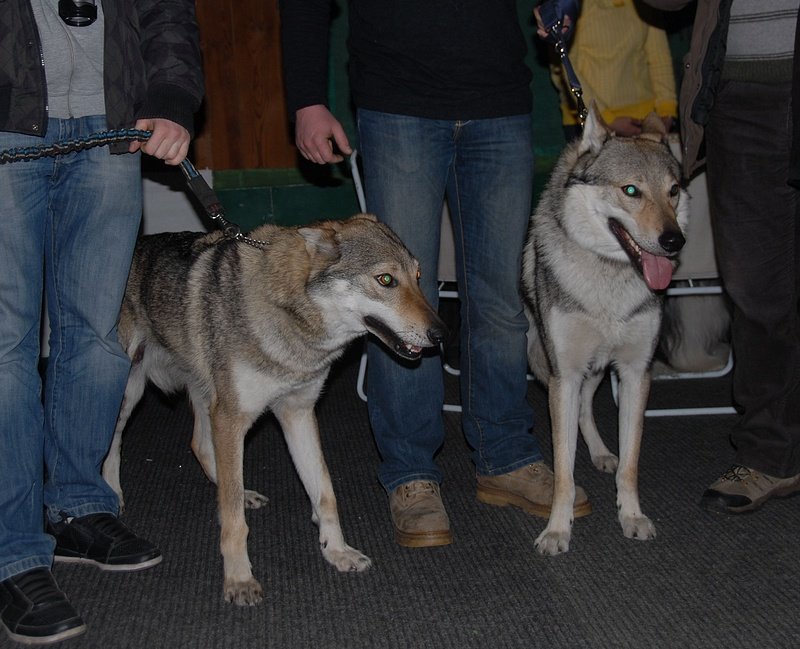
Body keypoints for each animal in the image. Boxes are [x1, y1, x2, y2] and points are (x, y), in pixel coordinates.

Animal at [102, 213, 446, 605]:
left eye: (418, 277)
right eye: (386, 280)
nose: (441, 334)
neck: (289, 316)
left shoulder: (296, 413)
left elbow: (325, 494)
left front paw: (337, 551)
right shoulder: (232, 418)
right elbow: (235, 522)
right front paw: (239, 579)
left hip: (206, 399)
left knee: (200, 448)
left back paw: (243, 492)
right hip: (129, 392)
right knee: (112, 444)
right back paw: (111, 496)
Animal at [522, 106, 689, 555]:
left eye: (673, 191)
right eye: (631, 190)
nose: (675, 241)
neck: (610, 280)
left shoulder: (634, 374)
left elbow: (630, 464)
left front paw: (631, 516)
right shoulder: (564, 375)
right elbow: (563, 469)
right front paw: (557, 531)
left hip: (596, 369)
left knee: (585, 410)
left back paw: (600, 453)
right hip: (542, 361)